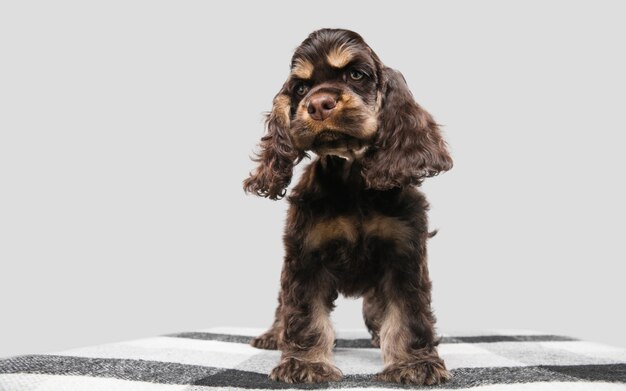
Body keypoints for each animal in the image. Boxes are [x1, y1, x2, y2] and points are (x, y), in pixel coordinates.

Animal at [241, 28, 450, 386]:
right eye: (301, 88)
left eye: (356, 75)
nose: (318, 104)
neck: (352, 181)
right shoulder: (305, 255)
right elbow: (305, 315)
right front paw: (305, 364)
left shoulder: (404, 254)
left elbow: (408, 314)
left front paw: (415, 364)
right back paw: (273, 335)